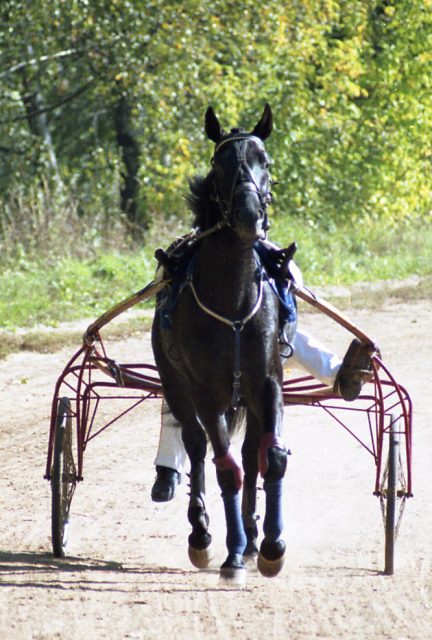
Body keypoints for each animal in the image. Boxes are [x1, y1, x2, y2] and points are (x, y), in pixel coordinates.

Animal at [152, 105, 294, 580]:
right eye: (220, 164)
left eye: (264, 159)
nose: (249, 215)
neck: (231, 301)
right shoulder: (205, 391)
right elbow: (224, 467)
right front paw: (232, 553)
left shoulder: (266, 382)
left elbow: (270, 458)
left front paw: (269, 546)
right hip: (175, 383)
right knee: (197, 446)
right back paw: (203, 534)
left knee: (250, 454)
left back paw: (251, 535)